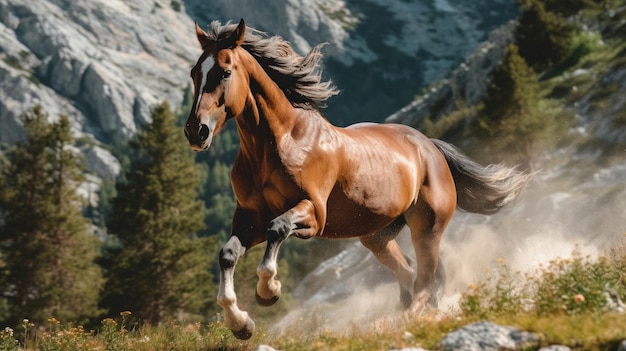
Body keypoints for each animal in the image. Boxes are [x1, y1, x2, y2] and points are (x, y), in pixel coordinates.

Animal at [184, 20, 528, 340]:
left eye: (225, 72)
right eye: (194, 73)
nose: (196, 132)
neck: (281, 143)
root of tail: (430, 148)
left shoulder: (313, 214)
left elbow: (277, 228)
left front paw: (269, 291)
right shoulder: (249, 219)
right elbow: (228, 254)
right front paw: (240, 323)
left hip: (427, 228)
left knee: (424, 281)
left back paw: (404, 323)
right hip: (377, 236)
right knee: (410, 275)